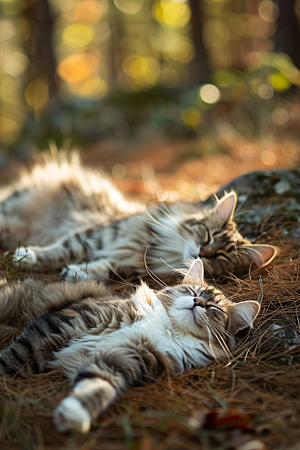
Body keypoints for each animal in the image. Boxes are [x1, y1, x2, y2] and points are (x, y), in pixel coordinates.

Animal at [0, 154, 276, 282]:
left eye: (222, 257)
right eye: (207, 236)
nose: (202, 253)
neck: (164, 252)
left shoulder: (129, 262)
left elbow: (105, 268)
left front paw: (77, 273)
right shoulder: (99, 235)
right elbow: (64, 249)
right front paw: (28, 257)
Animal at [0, 260, 262, 432]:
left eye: (213, 308)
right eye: (192, 291)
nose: (197, 302)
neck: (169, 328)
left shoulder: (123, 358)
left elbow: (96, 388)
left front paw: (74, 415)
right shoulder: (64, 324)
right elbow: (13, 358)